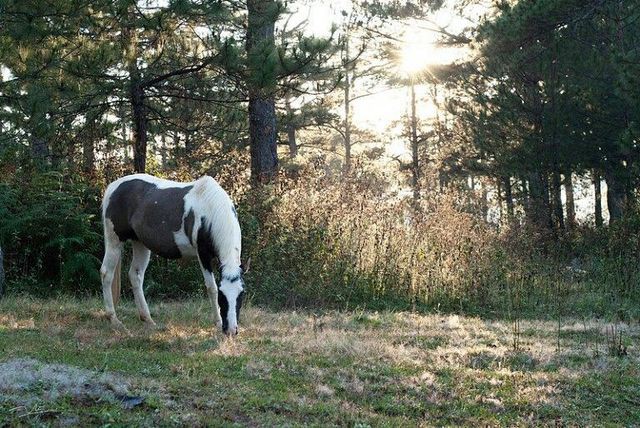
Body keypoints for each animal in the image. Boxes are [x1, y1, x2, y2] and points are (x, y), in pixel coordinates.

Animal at [100, 173, 248, 334]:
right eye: (222, 295)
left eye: (241, 293)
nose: (231, 330)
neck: (210, 210)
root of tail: (113, 187)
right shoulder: (203, 256)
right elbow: (211, 288)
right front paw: (218, 323)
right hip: (114, 240)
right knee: (106, 273)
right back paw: (114, 319)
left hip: (140, 243)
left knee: (135, 275)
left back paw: (148, 319)